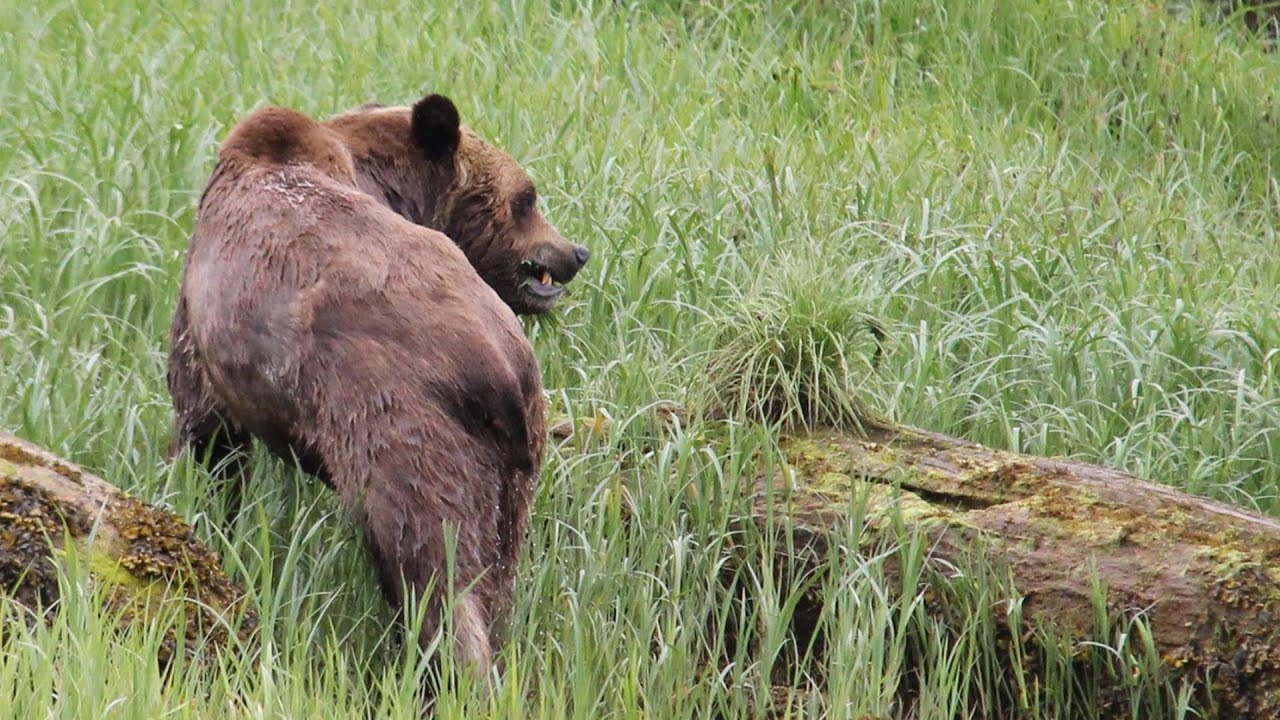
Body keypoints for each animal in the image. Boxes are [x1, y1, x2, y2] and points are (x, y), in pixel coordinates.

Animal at [167, 101, 547, 674]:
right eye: (526, 199)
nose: (576, 251)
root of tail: (498, 365)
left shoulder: (202, 336)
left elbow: (210, 437)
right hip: (510, 467)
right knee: (495, 575)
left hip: (402, 429)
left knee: (431, 570)